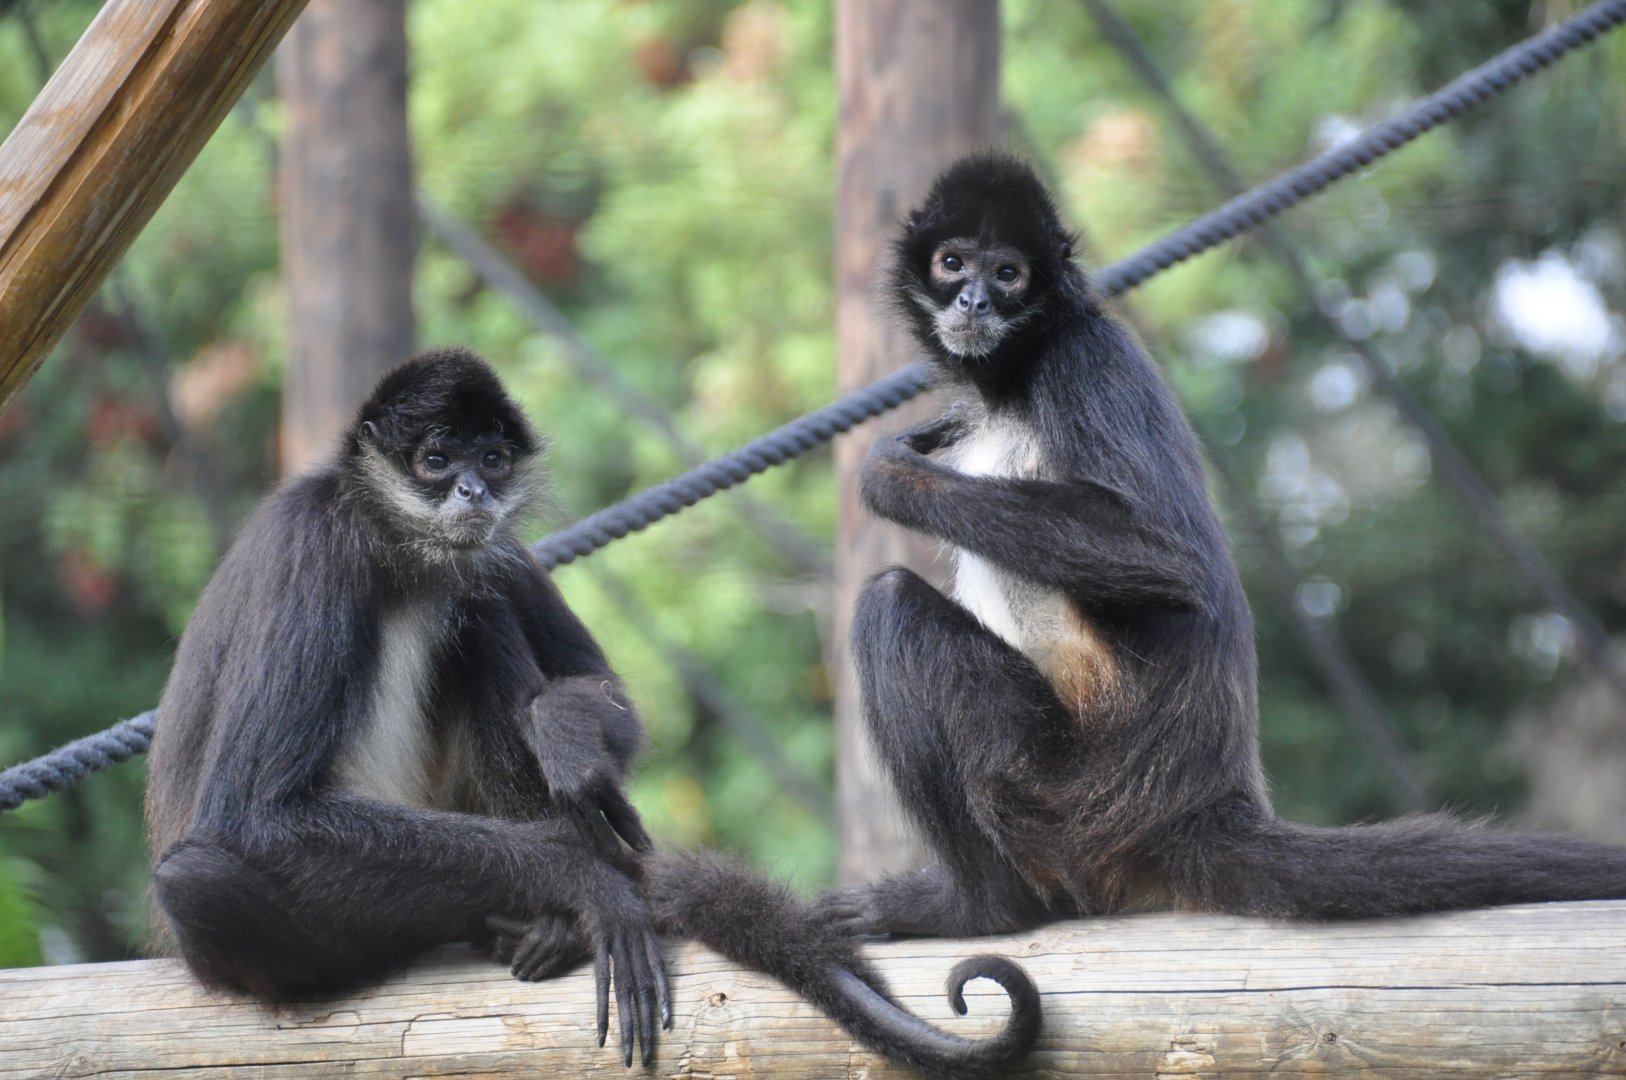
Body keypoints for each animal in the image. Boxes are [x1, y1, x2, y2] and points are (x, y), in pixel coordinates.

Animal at [145, 347, 1041, 1078]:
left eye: (492, 459)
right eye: (435, 460)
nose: (473, 489)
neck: (403, 557)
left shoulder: (495, 544)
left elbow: (604, 690)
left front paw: (568, 742)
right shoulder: (315, 550)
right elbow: (254, 816)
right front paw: (584, 874)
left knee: (480, 610)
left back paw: (546, 925)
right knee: (197, 878)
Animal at [817, 152, 1626, 943]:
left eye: (1008, 273)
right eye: (953, 263)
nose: (974, 303)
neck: (1013, 381)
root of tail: (1202, 805)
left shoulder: (1088, 359)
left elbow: (1168, 560)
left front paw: (889, 474)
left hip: (1063, 798)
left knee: (890, 605)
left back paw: (977, 908)